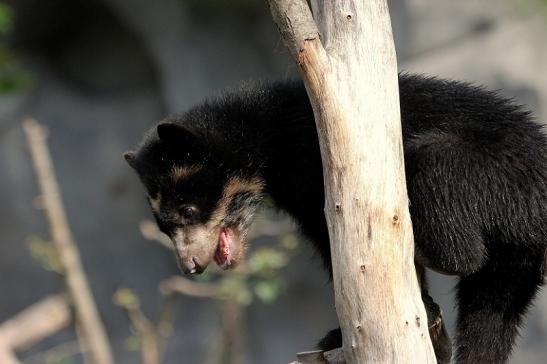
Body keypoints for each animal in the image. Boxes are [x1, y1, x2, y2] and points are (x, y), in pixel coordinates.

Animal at [124, 74, 547, 364]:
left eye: (189, 211)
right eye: (164, 226)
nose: (191, 266)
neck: (263, 146)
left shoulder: (317, 175)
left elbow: (334, 246)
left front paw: (338, 335)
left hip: (489, 170)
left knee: (438, 176)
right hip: (514, 260)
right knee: (489, 312)